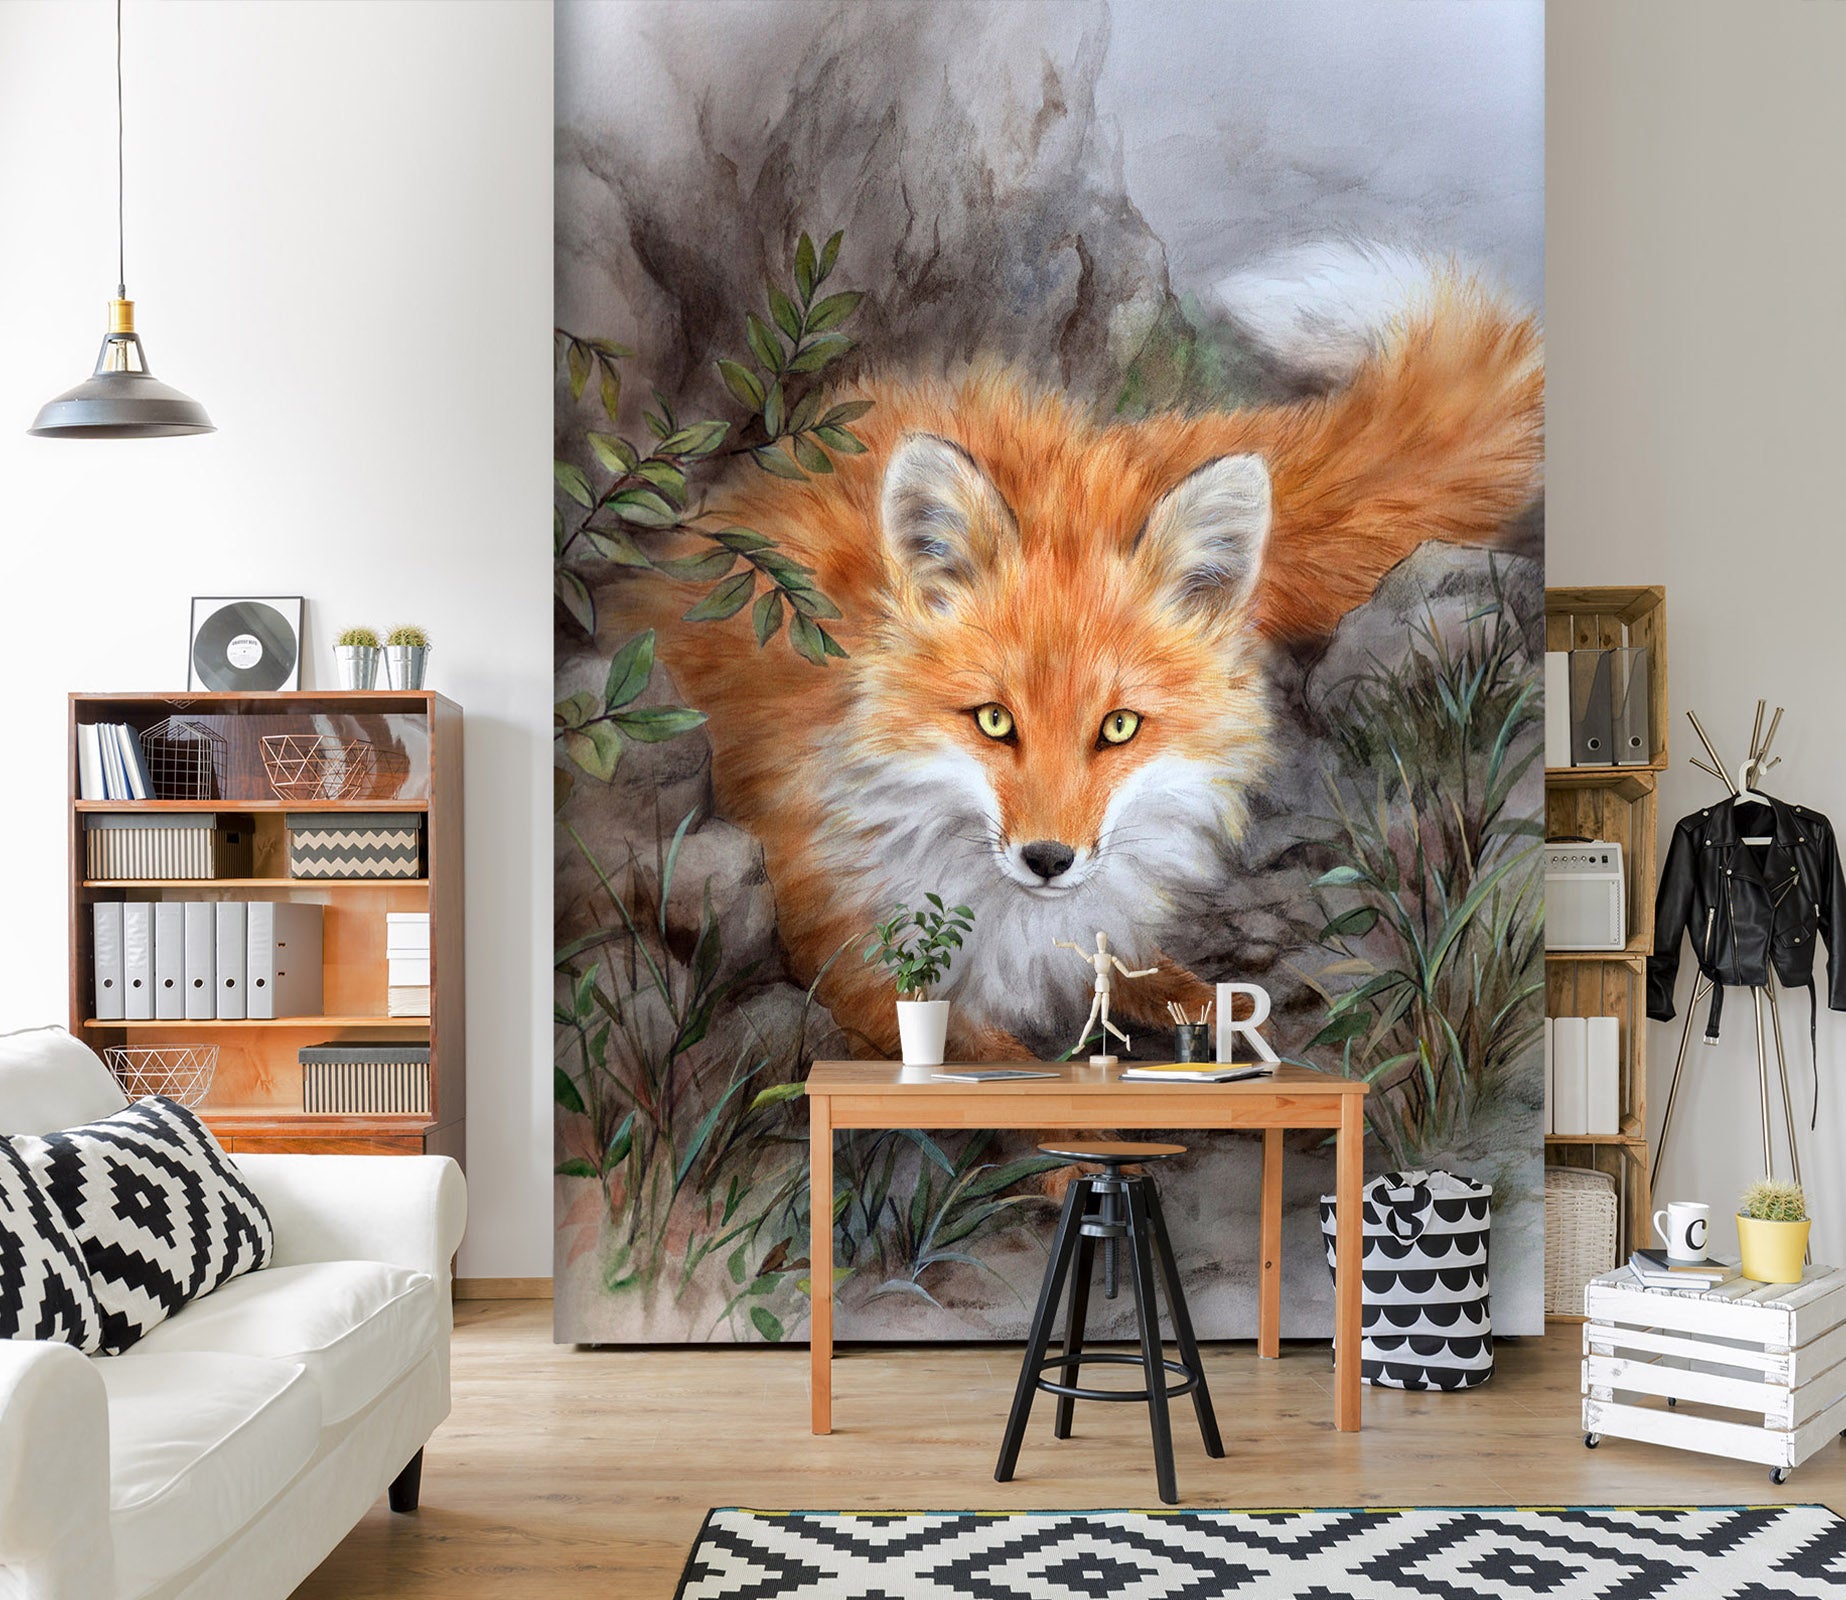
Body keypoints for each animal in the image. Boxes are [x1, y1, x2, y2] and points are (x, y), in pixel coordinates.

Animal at [633, 247, 1543, 1061]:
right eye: (993, 721)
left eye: (1119, 728)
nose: (1047, 860)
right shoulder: (852, 959)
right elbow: (1005, 1075)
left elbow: (1154, 982)